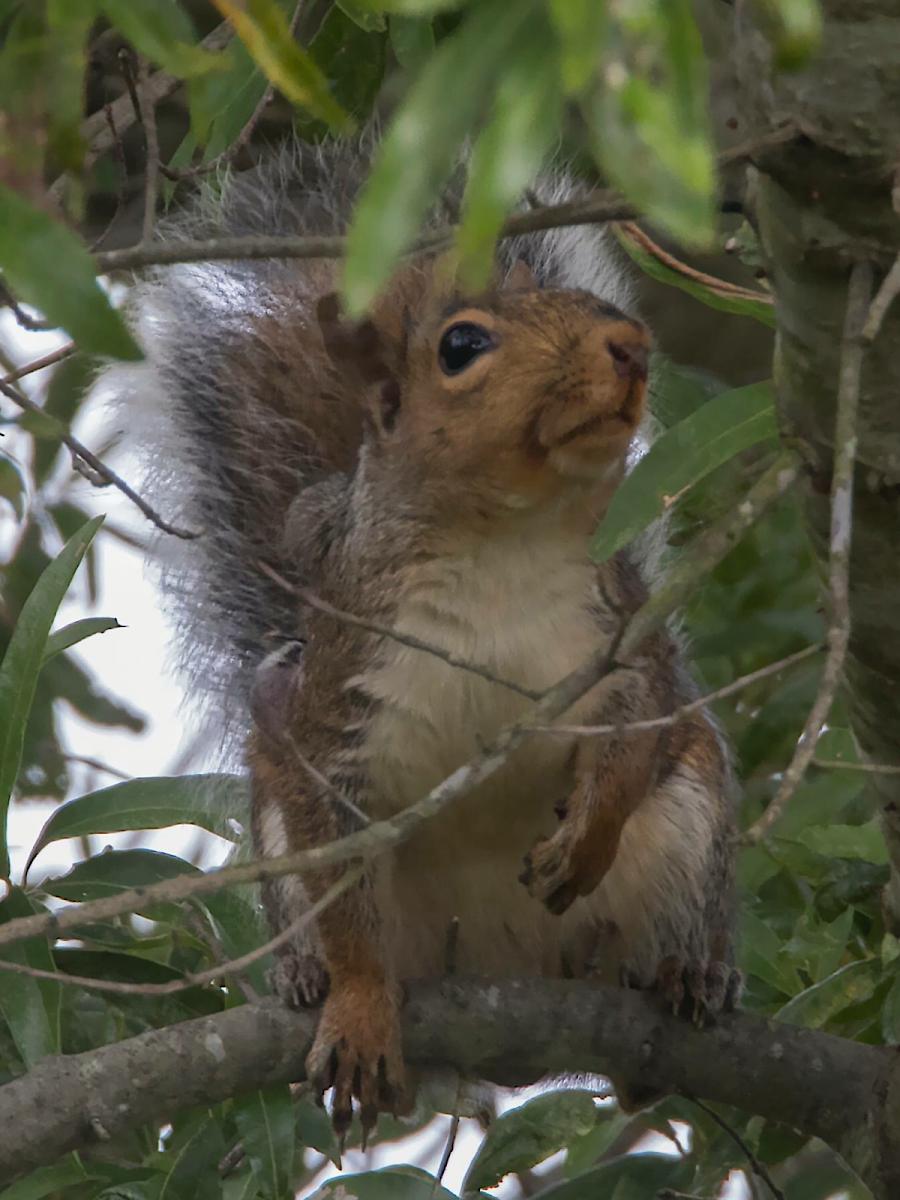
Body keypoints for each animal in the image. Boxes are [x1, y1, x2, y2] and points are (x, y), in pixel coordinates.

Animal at [103, 136, 739, 1137]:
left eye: (596, 307)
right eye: (462, 346)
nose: (633, 348)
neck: (505, 545)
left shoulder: (621, 644)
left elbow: (634, 736)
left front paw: (585, 837)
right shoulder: (337, 715)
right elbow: (349, 901)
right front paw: (360, 1009)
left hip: (690, 825)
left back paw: (686, 976)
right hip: (285, 835)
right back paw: (306, 978)